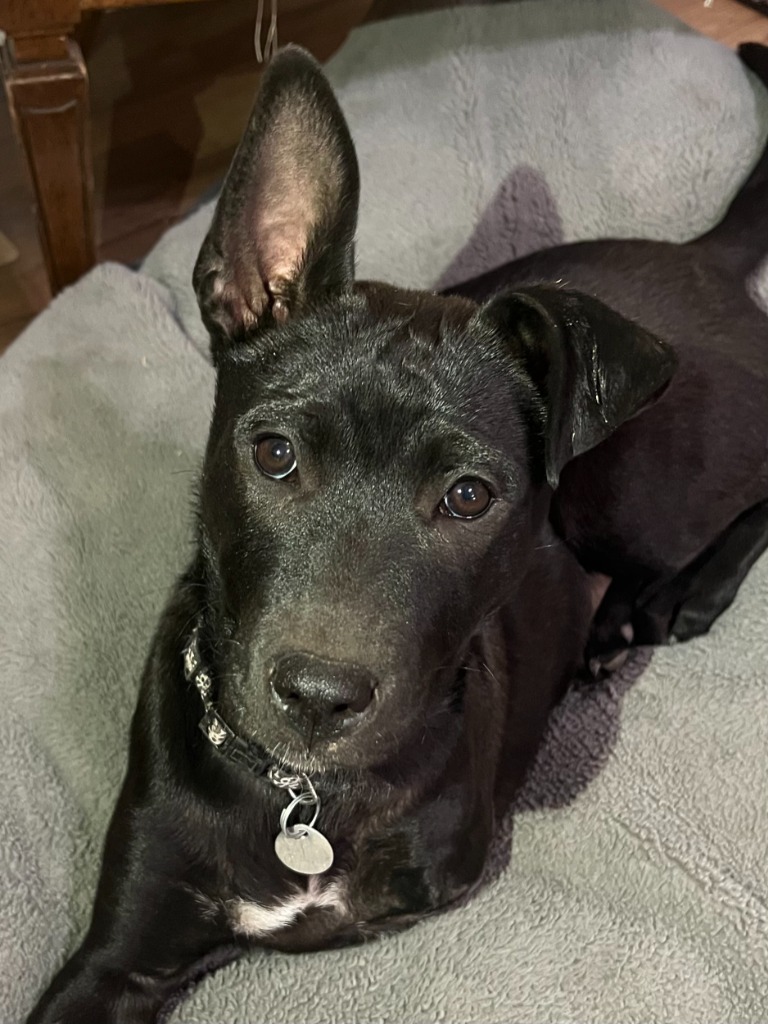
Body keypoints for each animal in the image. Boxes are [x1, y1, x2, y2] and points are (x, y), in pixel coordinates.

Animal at [30, 39, 768, 1024]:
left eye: (467, 497)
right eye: (273, 454)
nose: (318, 698)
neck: (301, 794)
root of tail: (701, 258)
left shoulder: (439, 875)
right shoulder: (119, 953)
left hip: (635, 494)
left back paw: (676, 599)